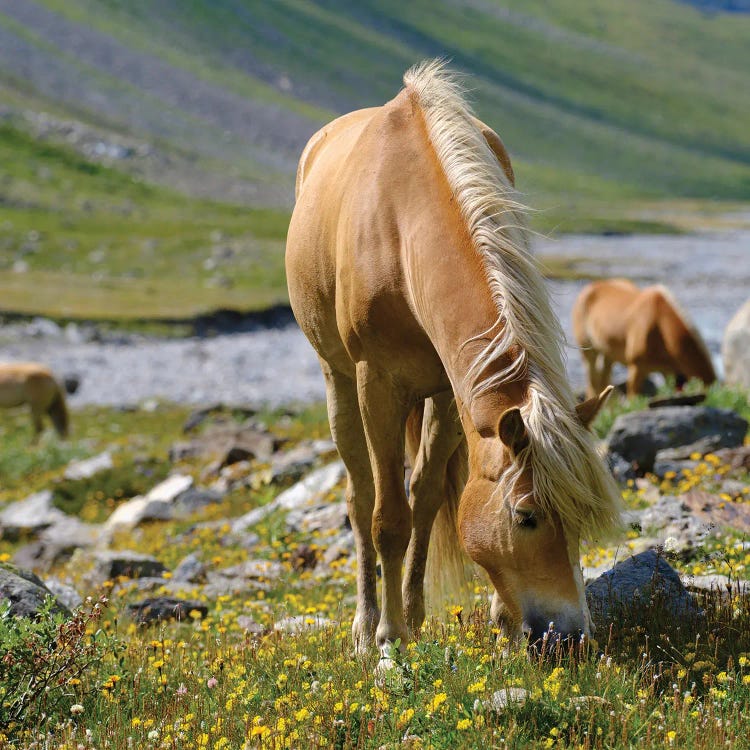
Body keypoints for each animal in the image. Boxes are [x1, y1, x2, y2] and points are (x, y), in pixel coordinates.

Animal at [284, 60, 620, 656]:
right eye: (526, 517)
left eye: (581, 517)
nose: (569, 639)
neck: (401, 227)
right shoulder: (378, 384)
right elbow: (387, 517)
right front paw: (390, 638)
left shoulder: (448, 387)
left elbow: (424, 499)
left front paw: (435, 617)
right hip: (338, 381)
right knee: (359, 495)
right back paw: (365, 626)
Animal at [576, 280, 716, 400]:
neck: (659, 324)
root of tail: (591, 287)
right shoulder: (636, 369)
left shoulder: (667, 372)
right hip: (589, 354)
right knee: (593, 383)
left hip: (608, 356)